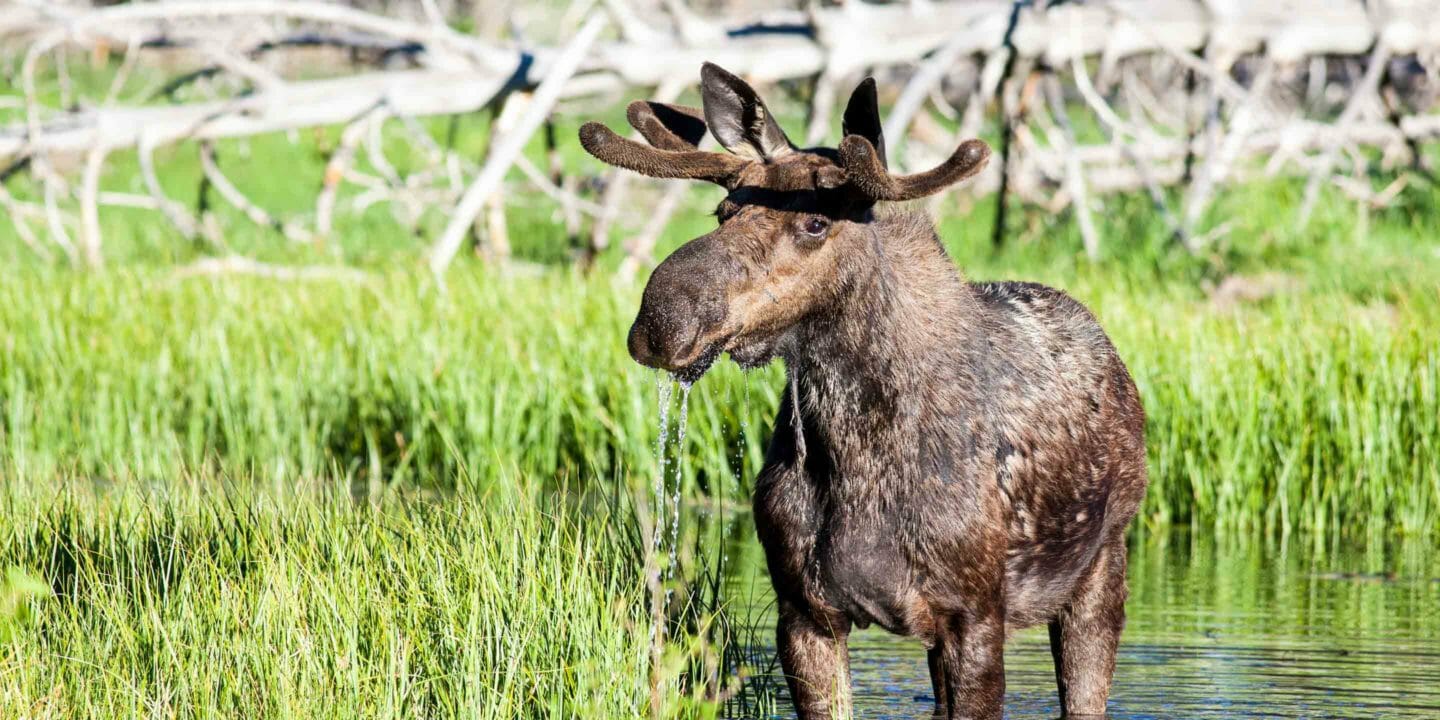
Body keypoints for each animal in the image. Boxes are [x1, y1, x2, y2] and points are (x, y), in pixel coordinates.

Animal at [578, 63, 1152, 720]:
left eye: (816, 222)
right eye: (722, 211)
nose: (663, 318)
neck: (855, 450)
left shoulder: (977, 616)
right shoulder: (805, 612)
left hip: (1103, 563)